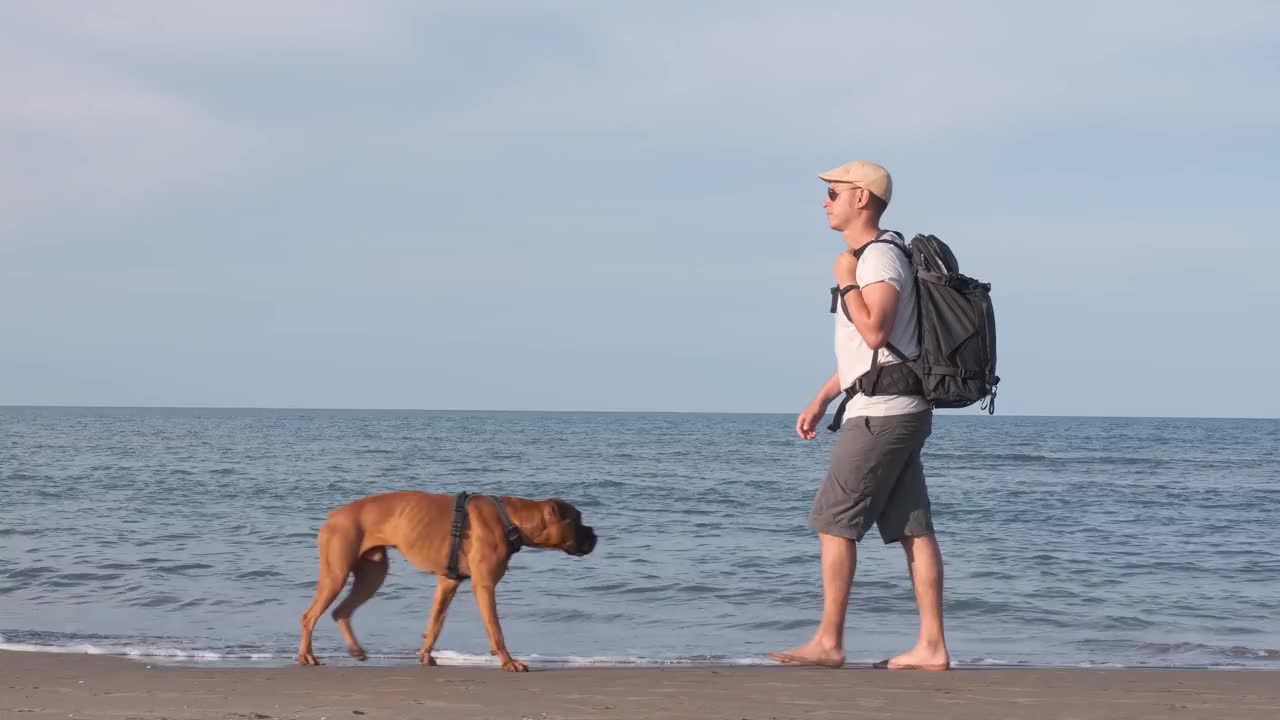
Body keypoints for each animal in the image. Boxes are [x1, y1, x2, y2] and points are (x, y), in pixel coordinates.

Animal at [296, 489, 596, 671]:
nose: (595, 533)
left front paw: (426, 655)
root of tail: (334, 514)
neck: (511, 520)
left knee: (341, 611)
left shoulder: (448, 582)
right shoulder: (484, 585)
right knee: (309, 615)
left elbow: (435, 623)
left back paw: (355, 650)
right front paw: (508, 662)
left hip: (372, 575)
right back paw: (306, 655)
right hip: (335, 575)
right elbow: (495, 629)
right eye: (578, 519)